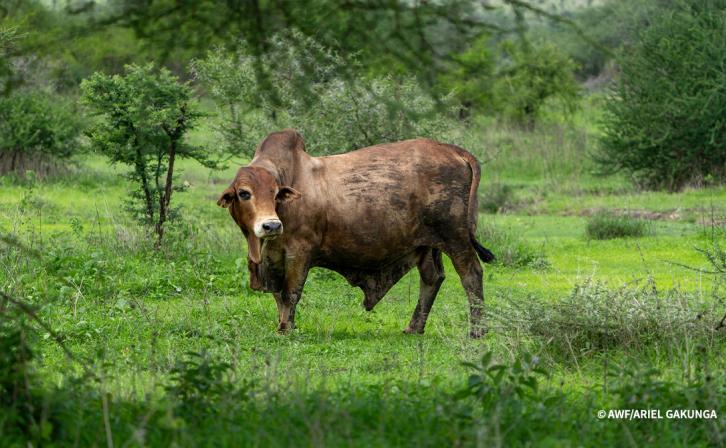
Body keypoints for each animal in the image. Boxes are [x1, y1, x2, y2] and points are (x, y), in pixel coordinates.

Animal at [218, 129, 494, 338]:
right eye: (244, 193)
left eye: (275, 193)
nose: (272, 226)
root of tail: (454, 150)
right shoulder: (274, 255)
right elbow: (278, 294)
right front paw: (286, 324)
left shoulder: (300, 251)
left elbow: (291, 292)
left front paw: (286, 329)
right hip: (427, 244)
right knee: (432, 278)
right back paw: (414, 328)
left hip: (456, 238)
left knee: (471, 274)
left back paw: (477, 331)